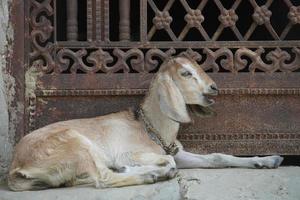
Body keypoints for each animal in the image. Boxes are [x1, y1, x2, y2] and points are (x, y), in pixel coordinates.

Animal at [7, 56, 284, 191]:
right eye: (185, 73)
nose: (213, 87)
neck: (151, 128)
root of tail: (16, 167)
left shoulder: (178, 151)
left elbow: (217, 157)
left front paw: (268, 160)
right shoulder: (131, 152)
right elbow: (169, 161)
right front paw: (154, 169)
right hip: (77, 145)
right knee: (103, 178)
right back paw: (150, 174)